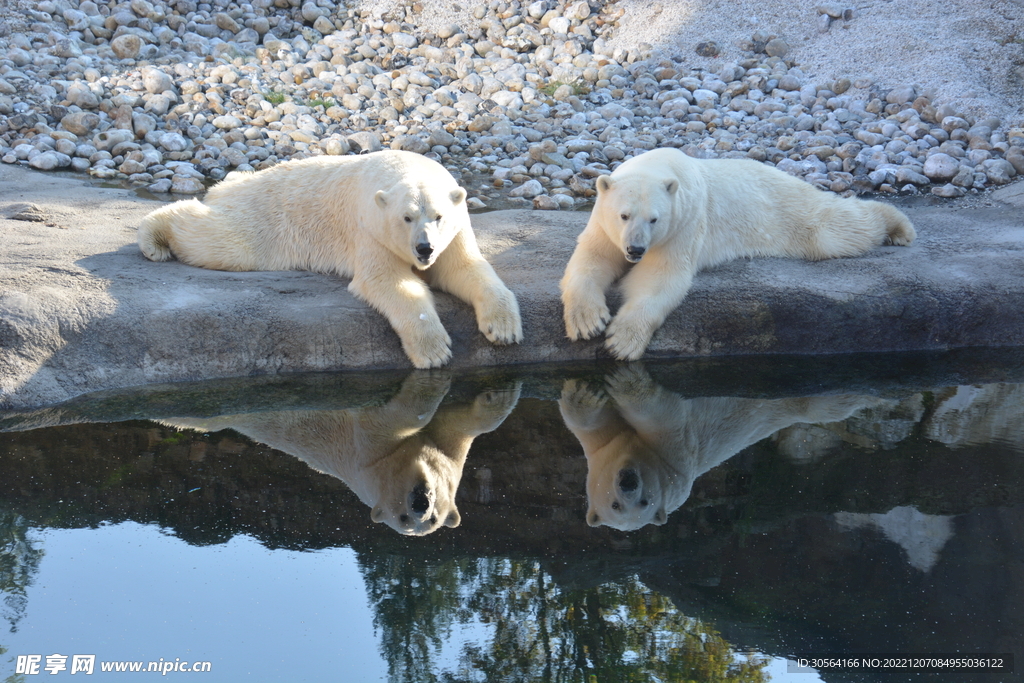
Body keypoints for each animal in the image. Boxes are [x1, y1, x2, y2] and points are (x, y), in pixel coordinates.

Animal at [138, 150, 522, 369]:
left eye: (439, 216)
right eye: (407, 217)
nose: (424, 249)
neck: (407, 168)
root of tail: (229, 184)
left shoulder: (455, 232)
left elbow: (464, 269)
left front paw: (503, 329)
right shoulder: (371, 228)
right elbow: (388, 281)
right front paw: (434, 351)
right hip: (264, 217)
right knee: (222, 241)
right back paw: (153, 237)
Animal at [160, 371, 521, 536]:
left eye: (432, 519)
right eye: (401, 517)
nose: (420, 503)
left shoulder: (449, 453)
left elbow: (461, 427)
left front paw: (499, 394)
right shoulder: (368, 457)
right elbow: (393, 418)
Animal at [558, 364, 883, 531]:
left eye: (644, 502)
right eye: (615, 506)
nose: (628, 481)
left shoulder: (675, 460)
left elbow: (666, 418)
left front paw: (626, 381)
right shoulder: (602, 450)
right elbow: (592, 422)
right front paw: (585, 391)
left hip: (803, 400)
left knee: (832, 403)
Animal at [560, 147, 916, 360]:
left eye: (654, 219)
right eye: (623, 215)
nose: (635, 249)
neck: (660, 166)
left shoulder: (685, 223)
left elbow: (660, 277)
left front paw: (621, 341)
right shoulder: (603, 224)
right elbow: (592, 259)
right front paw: (588, 322)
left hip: (790, 210)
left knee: (835, 229)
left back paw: (898, 226)